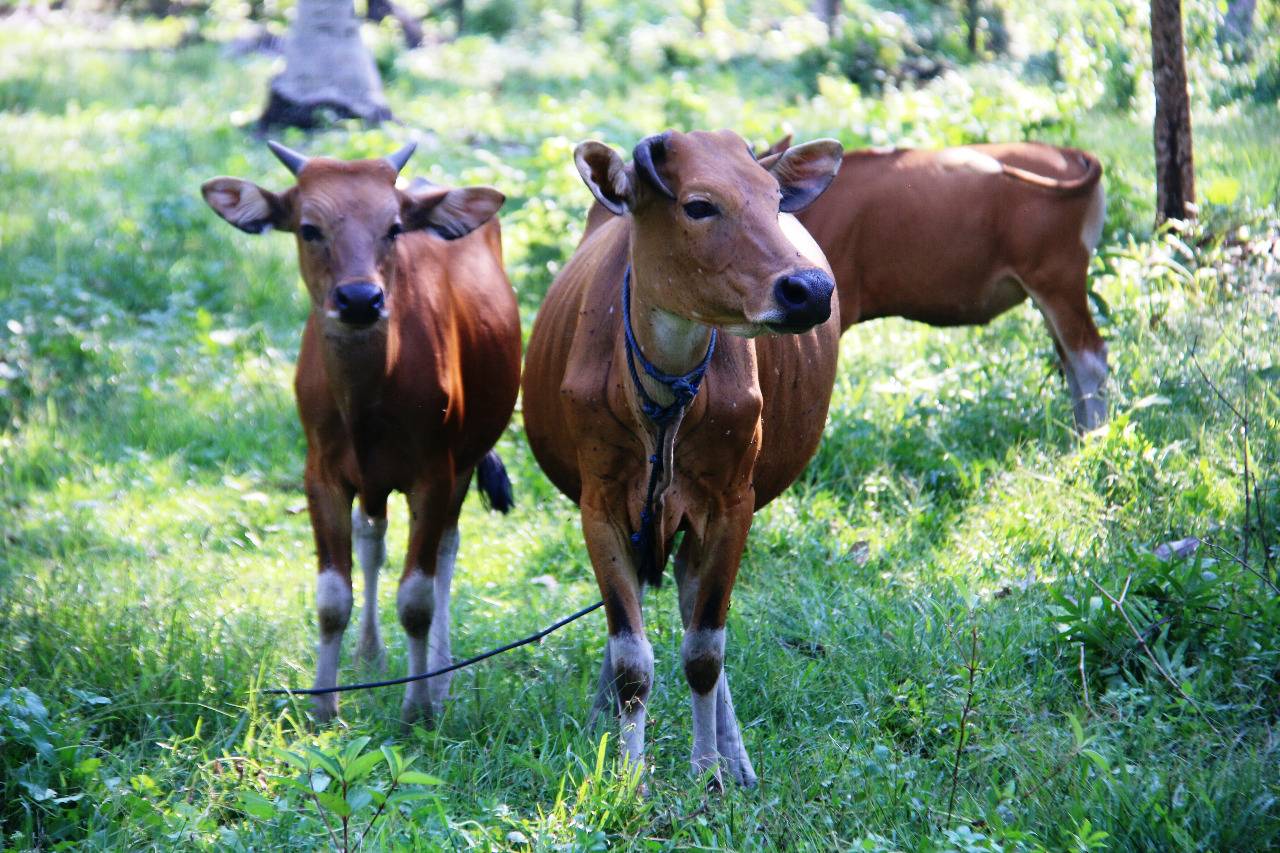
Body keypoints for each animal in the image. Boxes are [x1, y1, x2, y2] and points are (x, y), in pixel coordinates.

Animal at [199, 140, 519, 722]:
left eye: (393, 227)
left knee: (446, 549)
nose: (359, 300)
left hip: (465, 459)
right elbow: (332, 598)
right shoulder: (322, 474)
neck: (368, 403)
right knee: (373, 536)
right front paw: (325, 704)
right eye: (308, 227)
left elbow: (417, 598)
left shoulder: (434, 473)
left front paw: (418, 706)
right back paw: (370, 655)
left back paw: (440, 675)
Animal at [519, 129, 839, 788]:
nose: (810, 291)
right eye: (698, 205)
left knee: (696, 613)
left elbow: (704, 651)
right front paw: (626, 775)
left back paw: (734, 757)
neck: (661, 401)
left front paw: (709, 772)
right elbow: (631, 659)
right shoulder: (601, 508)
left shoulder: (730, 505)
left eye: (774, 200)